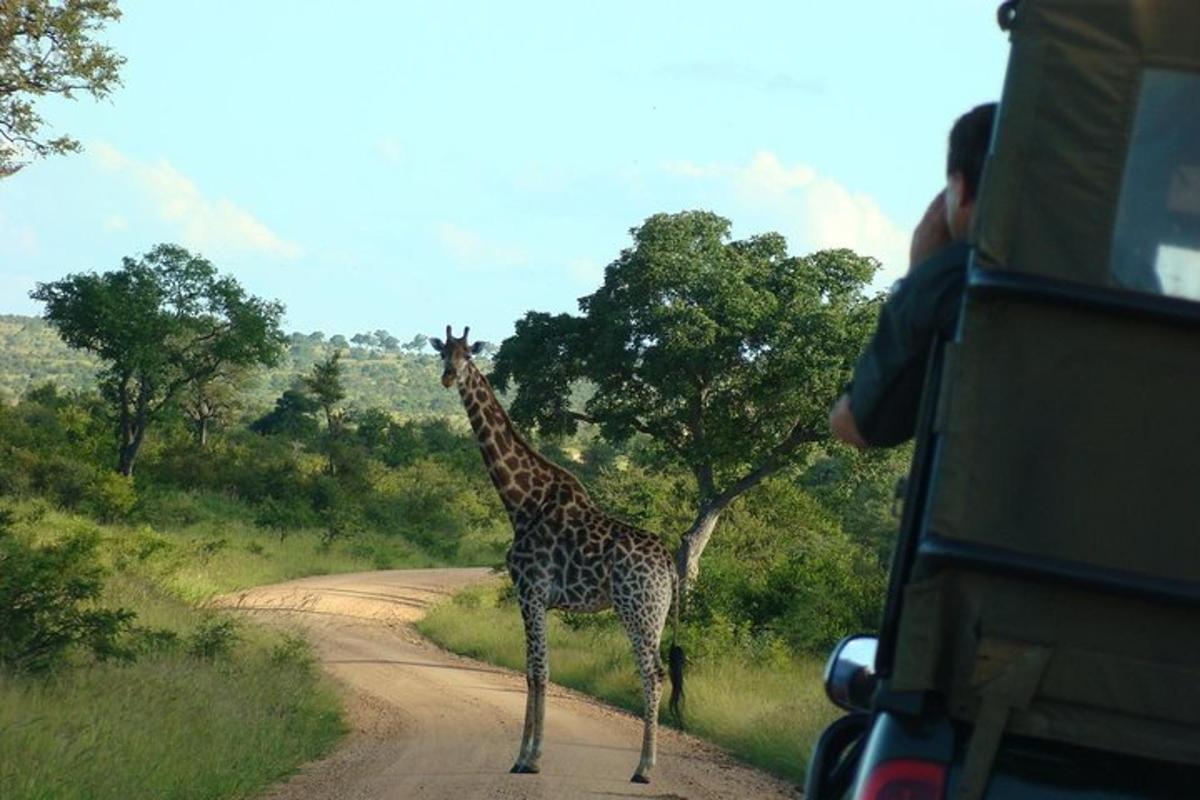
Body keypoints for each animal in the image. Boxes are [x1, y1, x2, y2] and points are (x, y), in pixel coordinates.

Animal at [432, 326, 686, 786]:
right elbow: (533, 672)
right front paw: (525, 756)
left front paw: (529, 758)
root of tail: (669, 567)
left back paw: (643, 768)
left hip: (637, 609)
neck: (521, 502)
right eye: (443, 352)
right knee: (656, 673)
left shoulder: (530, 592)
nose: (448, 377)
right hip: (656, 614)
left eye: (467, 355)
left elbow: (538, 671)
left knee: (653, 674)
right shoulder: (537, 599)